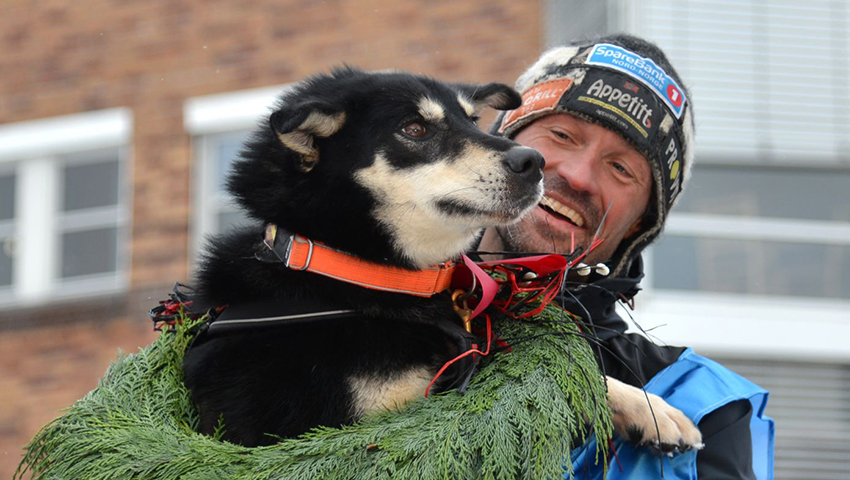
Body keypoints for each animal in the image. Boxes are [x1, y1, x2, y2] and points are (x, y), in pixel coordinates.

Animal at [182, 67, 700, 454]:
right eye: (414, 128)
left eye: (472, 119)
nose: (533, 161)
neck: (359, 275)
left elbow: (581, 374)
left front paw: (654, 410)